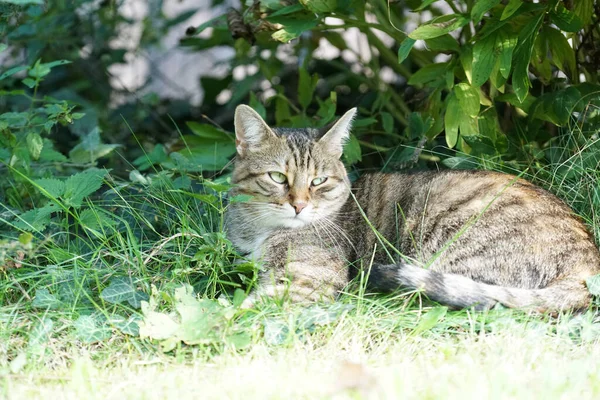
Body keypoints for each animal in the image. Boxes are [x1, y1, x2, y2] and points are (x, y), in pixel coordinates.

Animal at [225, 104, 600, 310]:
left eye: (319, 181)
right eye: (277, 177)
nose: (299, 206)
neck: (259, 231)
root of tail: (588, 263)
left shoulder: (306, 280)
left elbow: (240, 311)